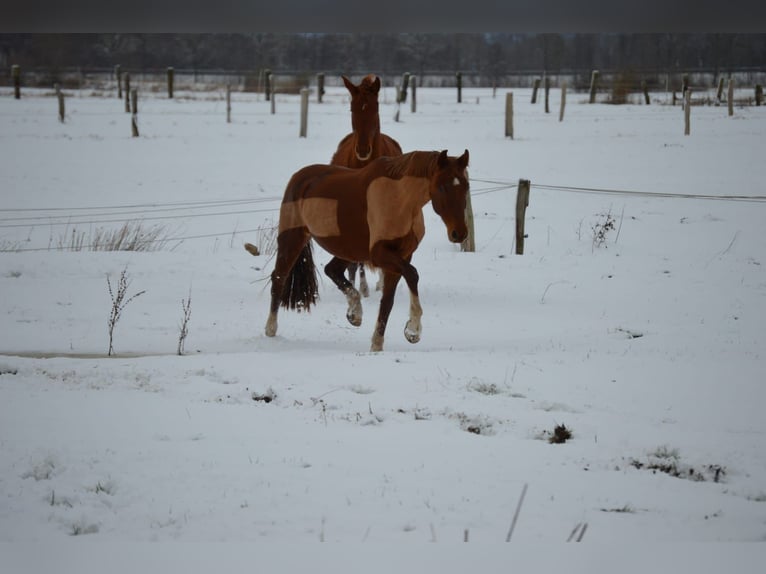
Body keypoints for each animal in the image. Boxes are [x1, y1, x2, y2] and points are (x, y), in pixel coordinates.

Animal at [264, 149, 470, 352]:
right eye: (442, 187)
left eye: (466, 187)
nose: (459, 234)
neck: (401, 199)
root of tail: (298, 177)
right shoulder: (380, 254)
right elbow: (413, 274)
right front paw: (413, 330)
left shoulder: (402, 256)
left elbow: (387, 302)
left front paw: (377, 345)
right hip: (292, 239)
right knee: (279, 277)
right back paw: (270, 329)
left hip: (350, 250)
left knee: (332, 270)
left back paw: (355, 313)